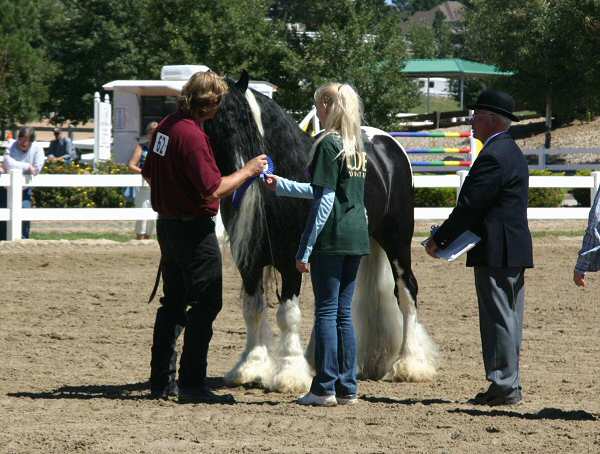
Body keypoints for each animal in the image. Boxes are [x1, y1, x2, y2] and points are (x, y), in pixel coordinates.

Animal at [205, 72, 436, 392]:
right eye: (213, 120)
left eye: (245, 120)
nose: (244, 170)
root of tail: (388, 146)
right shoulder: (248, 263)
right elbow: (253, 309)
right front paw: (250, 367)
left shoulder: (290, 261)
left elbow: (287, 315)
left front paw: (289, 375)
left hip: (397, 241)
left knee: (406, 292)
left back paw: (410, 364)